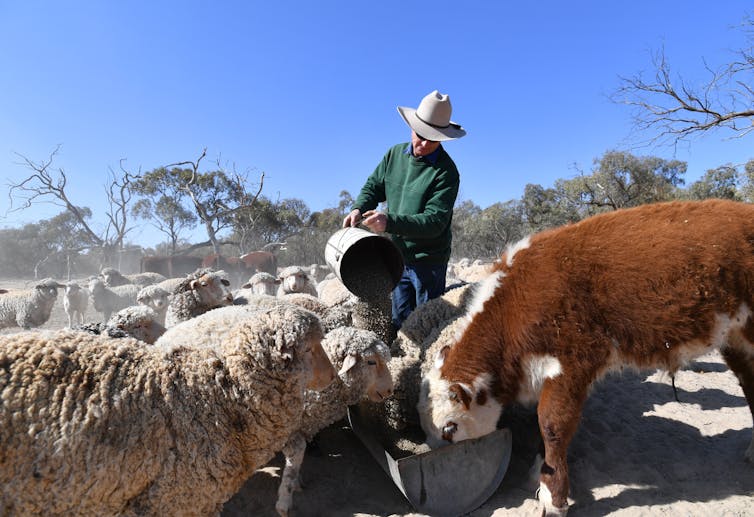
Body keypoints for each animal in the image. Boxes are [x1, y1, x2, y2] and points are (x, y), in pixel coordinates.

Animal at [276, 326, 394, 516]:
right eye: (371, 362)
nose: (390, 390)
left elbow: (296, 460)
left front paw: (296, 483)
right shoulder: (287, 430)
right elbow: (295, 458)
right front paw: (284, 502)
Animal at [418, 198, 752, 516]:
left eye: (449, 428)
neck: (513, 304)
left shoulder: (572, 364)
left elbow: (552, 425)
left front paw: (553, 497)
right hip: (736, 340)